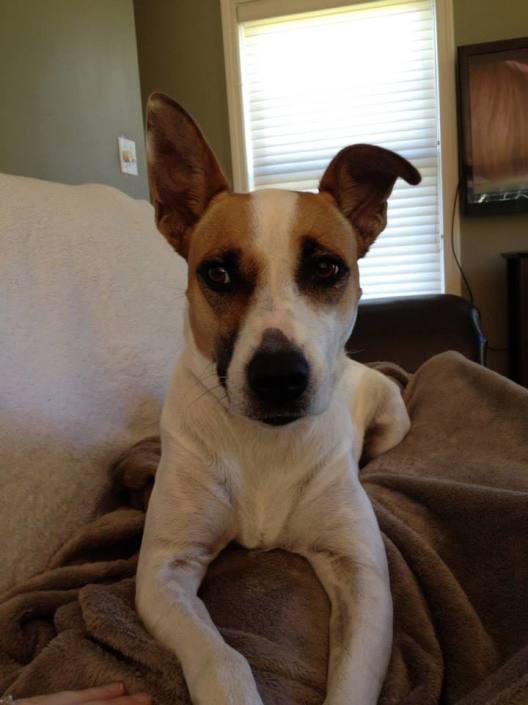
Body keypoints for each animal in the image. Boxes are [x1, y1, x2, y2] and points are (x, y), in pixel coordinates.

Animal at [136, 93, 420, 704]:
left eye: (328, 267)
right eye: (217, 273)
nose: (279, 375)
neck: (263, 442)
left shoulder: (363, 578)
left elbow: (351, 685)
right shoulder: (164, 570)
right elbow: (222, 658)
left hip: (394, 423)